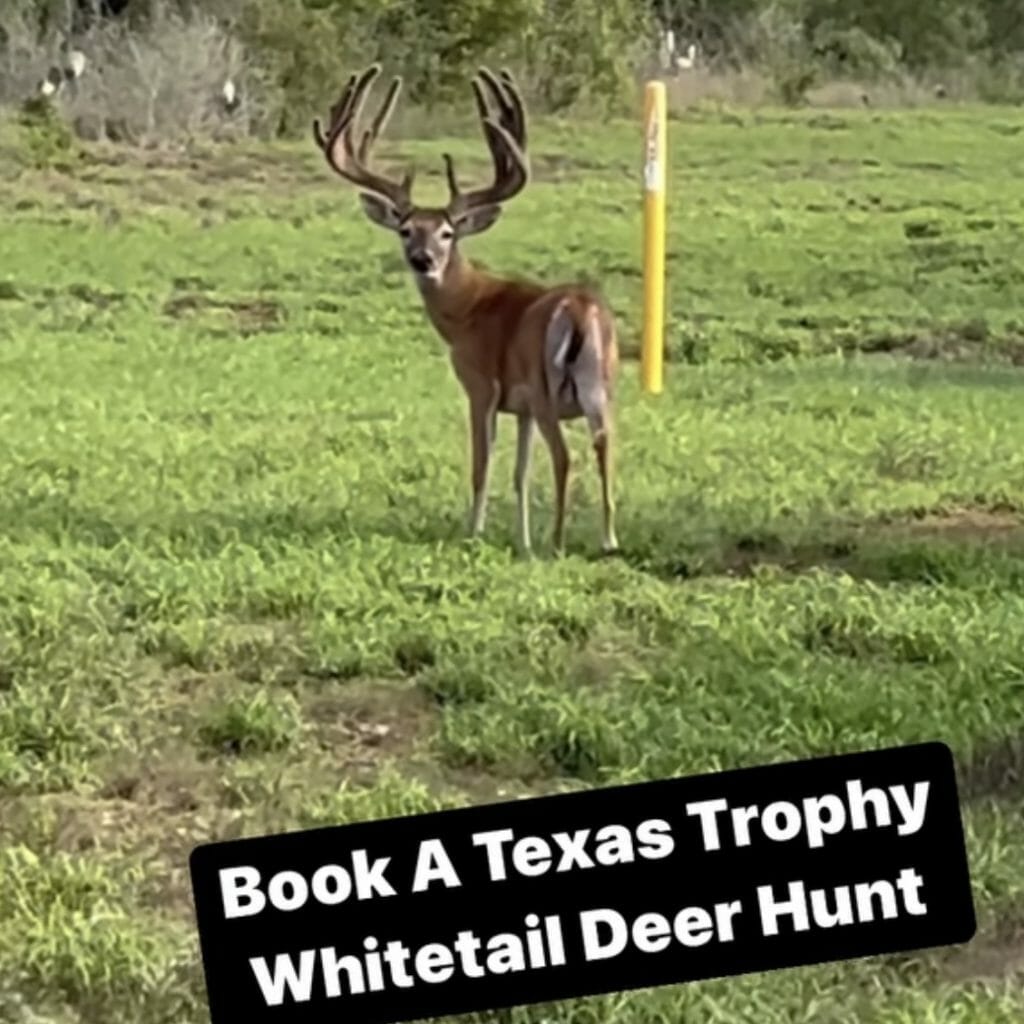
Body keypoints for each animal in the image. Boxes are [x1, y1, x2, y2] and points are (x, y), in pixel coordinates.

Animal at [313, 64, 620, 557]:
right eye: (405, 229)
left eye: (446, 233)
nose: (423, 260)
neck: (469, 308)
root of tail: (578, 311)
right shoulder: (523, 407)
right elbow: (519, 474)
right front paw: (522, 540)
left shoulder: (481, 386)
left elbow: (481, 465)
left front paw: (473, 533)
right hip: (600, 386)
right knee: (605, 445)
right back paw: (607, 539)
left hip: (547, 386)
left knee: (565, 455)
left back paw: (557, 542)